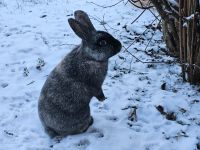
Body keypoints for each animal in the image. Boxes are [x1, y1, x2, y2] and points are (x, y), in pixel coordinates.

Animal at [38, 9, 122, 138]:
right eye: (102, 42)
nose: (120, 45)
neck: (90, 57)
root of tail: (50, 129)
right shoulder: (95, 85)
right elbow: (98, 92)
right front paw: (103, 99)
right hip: (84, 113)